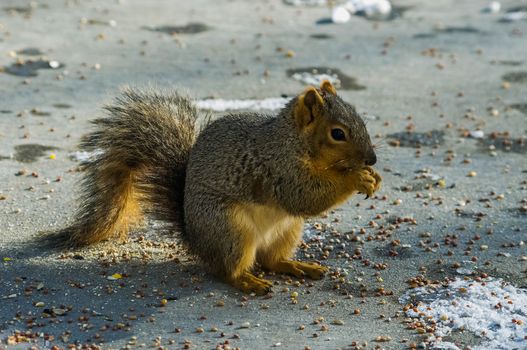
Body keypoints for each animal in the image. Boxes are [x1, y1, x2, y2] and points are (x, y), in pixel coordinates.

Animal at [56, 80, 380, 296]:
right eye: (337, 133)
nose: (372, 159)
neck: (292, 141)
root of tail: (195, 239)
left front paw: (372, 176)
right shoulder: (279, 168)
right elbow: (303, 196)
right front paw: (356, 178)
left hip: (288, 230)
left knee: (270, 260)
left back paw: (297, 267)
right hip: (229, 230)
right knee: (227, 270)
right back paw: (247, 281)